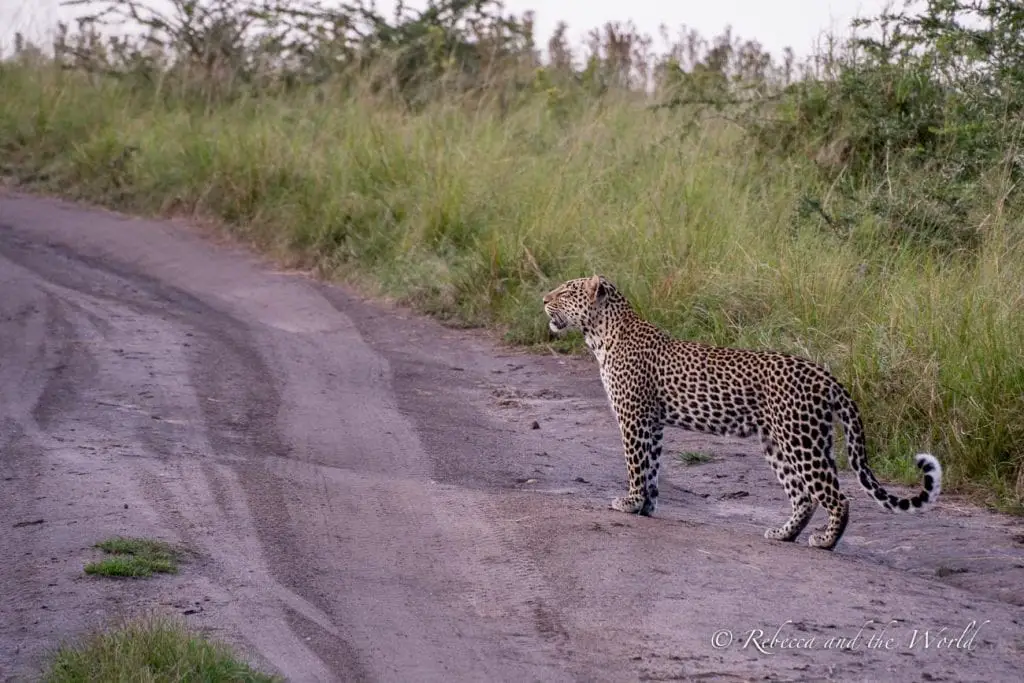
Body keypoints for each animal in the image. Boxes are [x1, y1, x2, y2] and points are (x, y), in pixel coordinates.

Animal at [544, 274, 942, 548]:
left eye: (565, 291)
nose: (543, 298)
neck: (601, 335)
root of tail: (826, 375)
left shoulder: (634, 417)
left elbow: (635, 463)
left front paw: (629, 503)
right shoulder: (653, 423)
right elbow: (651, 465)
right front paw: (647, 506)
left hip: (801, 441)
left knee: (835, 496)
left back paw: (825, 542)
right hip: (782, 442)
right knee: (804, 496)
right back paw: (783, 534)